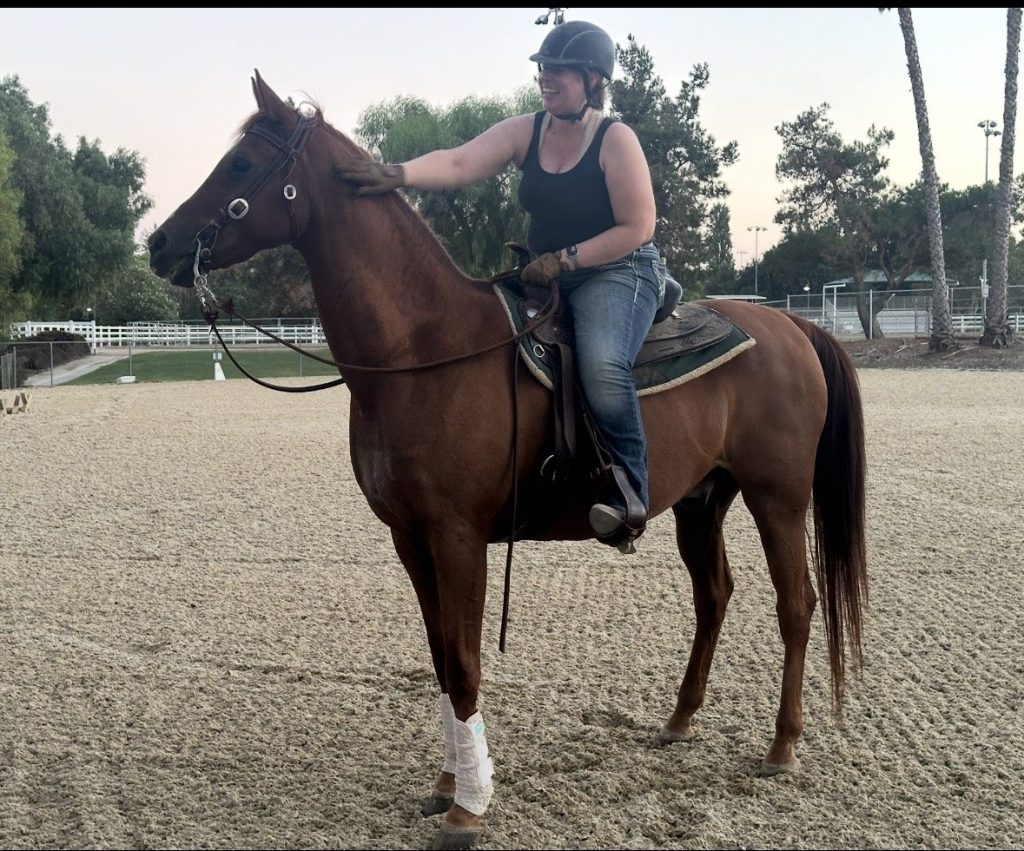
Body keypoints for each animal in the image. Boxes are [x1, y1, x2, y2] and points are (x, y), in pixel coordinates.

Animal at [148, 72, 867, 850]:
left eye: (242, 165)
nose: (159, 243)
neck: (423, 350)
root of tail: (790, 325)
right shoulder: (411, 539)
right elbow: (439, 656)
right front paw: (448, 782)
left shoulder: (459, 536)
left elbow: (464, 663)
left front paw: (470, 805)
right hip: (702, 501)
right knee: (714, 596)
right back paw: (679, 720)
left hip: (777, 497)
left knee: (796, 605)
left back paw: (783, 744)